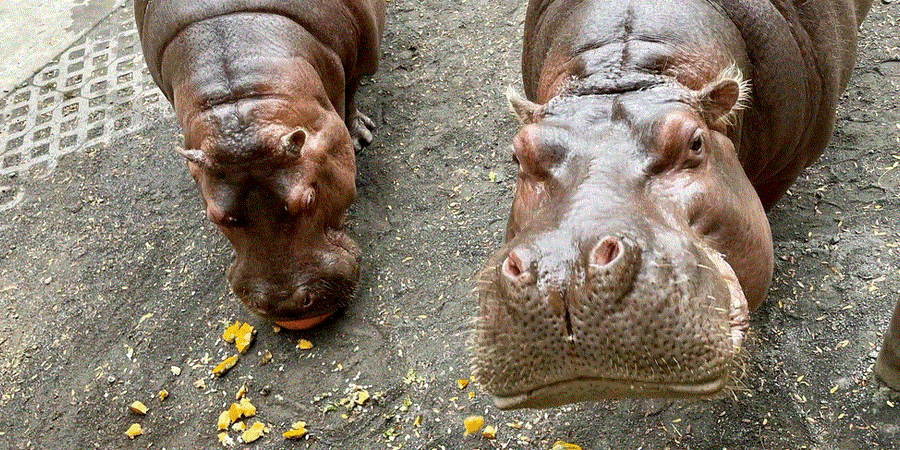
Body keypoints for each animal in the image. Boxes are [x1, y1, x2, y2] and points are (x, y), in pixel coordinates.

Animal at [134, 0, 384, 330]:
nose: (285, 304)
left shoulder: (360, 57)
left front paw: (360, 138)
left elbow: (351, 91)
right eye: (213, 215)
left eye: (309, 198)